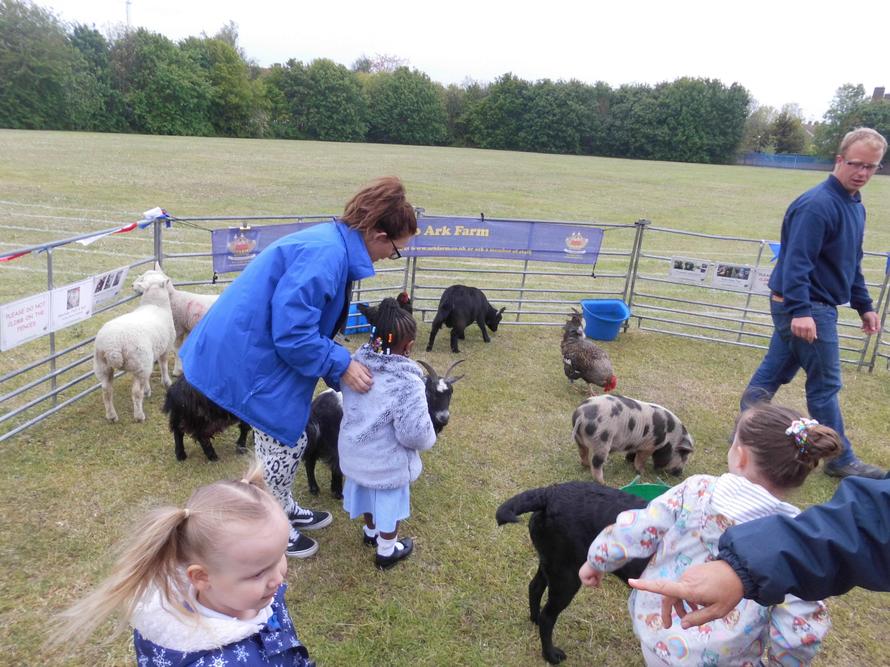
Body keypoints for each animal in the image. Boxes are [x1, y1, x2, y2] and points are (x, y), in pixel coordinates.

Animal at [93, 270, 175, 422]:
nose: (132, 285)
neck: (155, 305)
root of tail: (114, 346)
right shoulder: (164, 348)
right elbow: (163, 365)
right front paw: (166, 382)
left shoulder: (149, 357)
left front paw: (148, 390)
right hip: (139, 363)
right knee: (136, 393)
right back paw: (139, 416)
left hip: (102, 365)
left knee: (106, 390)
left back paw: (111, 416)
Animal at [496, 481, 649, 664]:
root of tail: (549, 493)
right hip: (567, 578)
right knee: (547, 617)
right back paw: (551, 655)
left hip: (551, 564)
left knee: (534, 588)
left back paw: (535, 619)